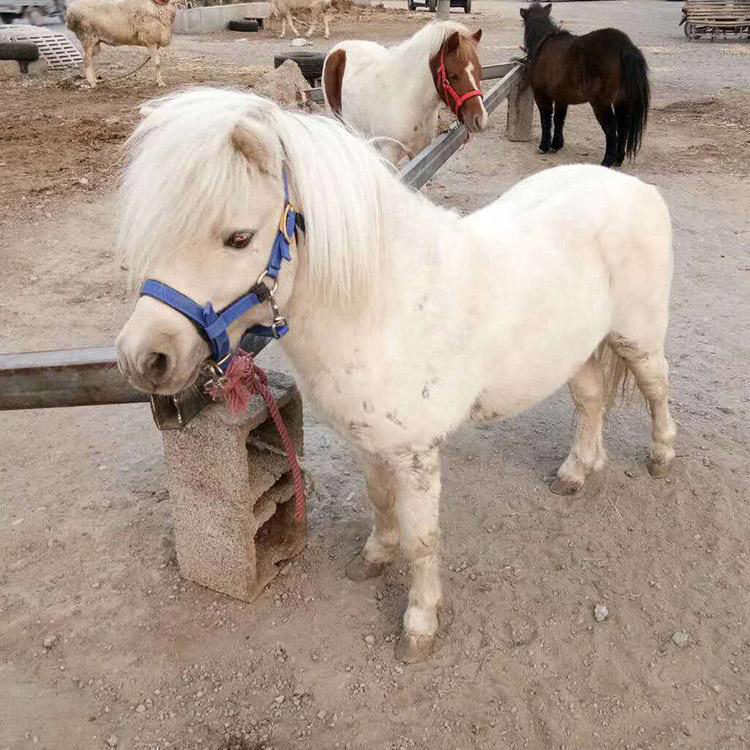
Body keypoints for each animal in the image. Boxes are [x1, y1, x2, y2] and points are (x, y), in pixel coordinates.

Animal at [115, 87, 676, 663]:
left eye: (239, 238)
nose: (143, 358)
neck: (385, 305)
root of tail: (634, 189)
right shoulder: (369, 441)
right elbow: (379, 502)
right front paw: (374, 557)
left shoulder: (416, 453)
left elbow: (422, 539)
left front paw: (420, 624)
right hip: (578, 350)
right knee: (590, 403)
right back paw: (577, 471)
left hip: (637, 338)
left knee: (657, 386)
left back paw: (661, 455)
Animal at [323, 21, 487, 164]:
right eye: (453, 75)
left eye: (480, 71)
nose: (480, 119)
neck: (409, 99)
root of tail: (338, 49)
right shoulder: (389, 154)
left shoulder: (420, 152)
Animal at [520, 2, 650, 167]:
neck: (543, 44)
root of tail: (623, 45)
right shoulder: (562, 97)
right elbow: (559, 119)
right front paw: (556, 145)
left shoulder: (541, 95)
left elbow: (546, 119)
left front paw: (544, 145)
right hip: (622, 100)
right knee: (623, 126)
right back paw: (618, 159)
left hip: (600, 104)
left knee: (611, 128)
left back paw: (607, 161)